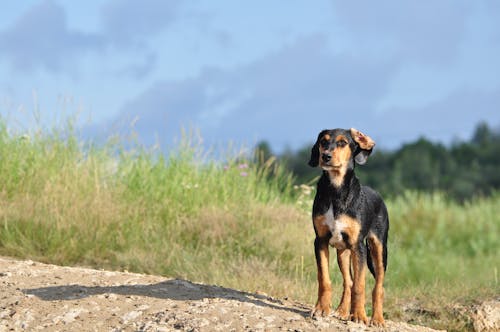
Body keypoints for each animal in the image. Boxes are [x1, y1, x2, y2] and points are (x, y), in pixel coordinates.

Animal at [306, 127, 388, 326]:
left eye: (343, 142)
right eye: (323, 141)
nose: (325, 156)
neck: (336, 190)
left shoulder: (358, 246)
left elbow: (360, 284)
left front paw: (358, 315)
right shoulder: (320, 241)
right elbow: (324, 279)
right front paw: (321, 309)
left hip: (378, 248)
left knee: (378, 286)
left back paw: (377, 318)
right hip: (342, 252)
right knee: (348, 281)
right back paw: (343, 311)